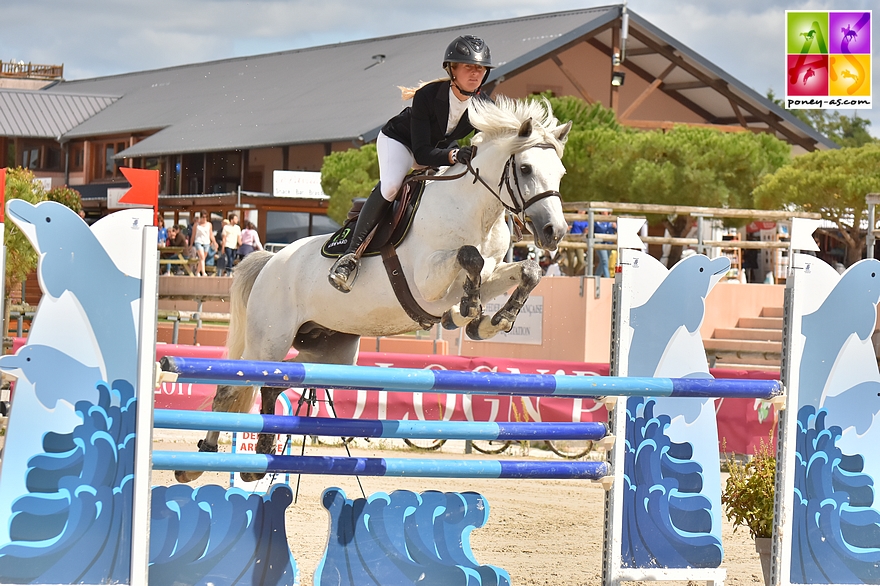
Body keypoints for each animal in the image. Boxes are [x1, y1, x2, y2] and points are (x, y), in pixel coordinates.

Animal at [176, 94, 576, 480]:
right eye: (525, 169)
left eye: (560, 172)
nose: (554, 232)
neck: (476, 213)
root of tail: (270, 262)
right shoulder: (427, 280)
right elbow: (470, 257)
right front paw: (470, 312)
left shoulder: (491, 271)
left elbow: (525, 272)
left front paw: (490, 322)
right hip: (269, 339)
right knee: (234, 385)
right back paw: (201, 460)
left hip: (331, 352)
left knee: (276, 382)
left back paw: (256, 455)